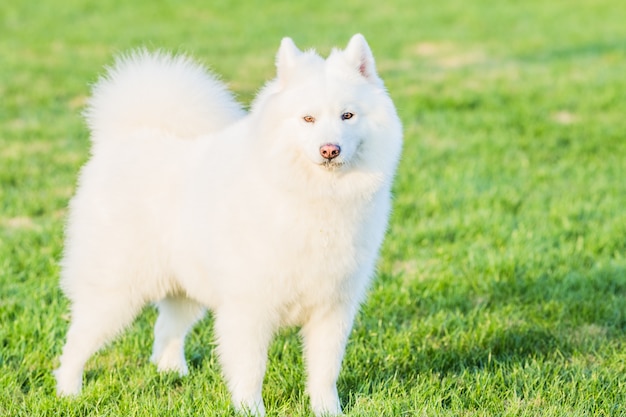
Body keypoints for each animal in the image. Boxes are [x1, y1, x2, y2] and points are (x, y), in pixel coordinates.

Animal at [56, 34, 402, 414]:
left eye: (348, 115)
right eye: (308, 118)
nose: (330, 149)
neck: (316, 198)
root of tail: (129, 137)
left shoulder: (333, 309)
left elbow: (324, 373)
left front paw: (327, 411)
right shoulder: (250, 307)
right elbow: (251, 369)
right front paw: (250, 410)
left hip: (183, 289)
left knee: (166, 330)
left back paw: (172, 374)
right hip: (115, 293)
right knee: (75, 343)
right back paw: (68, 392)